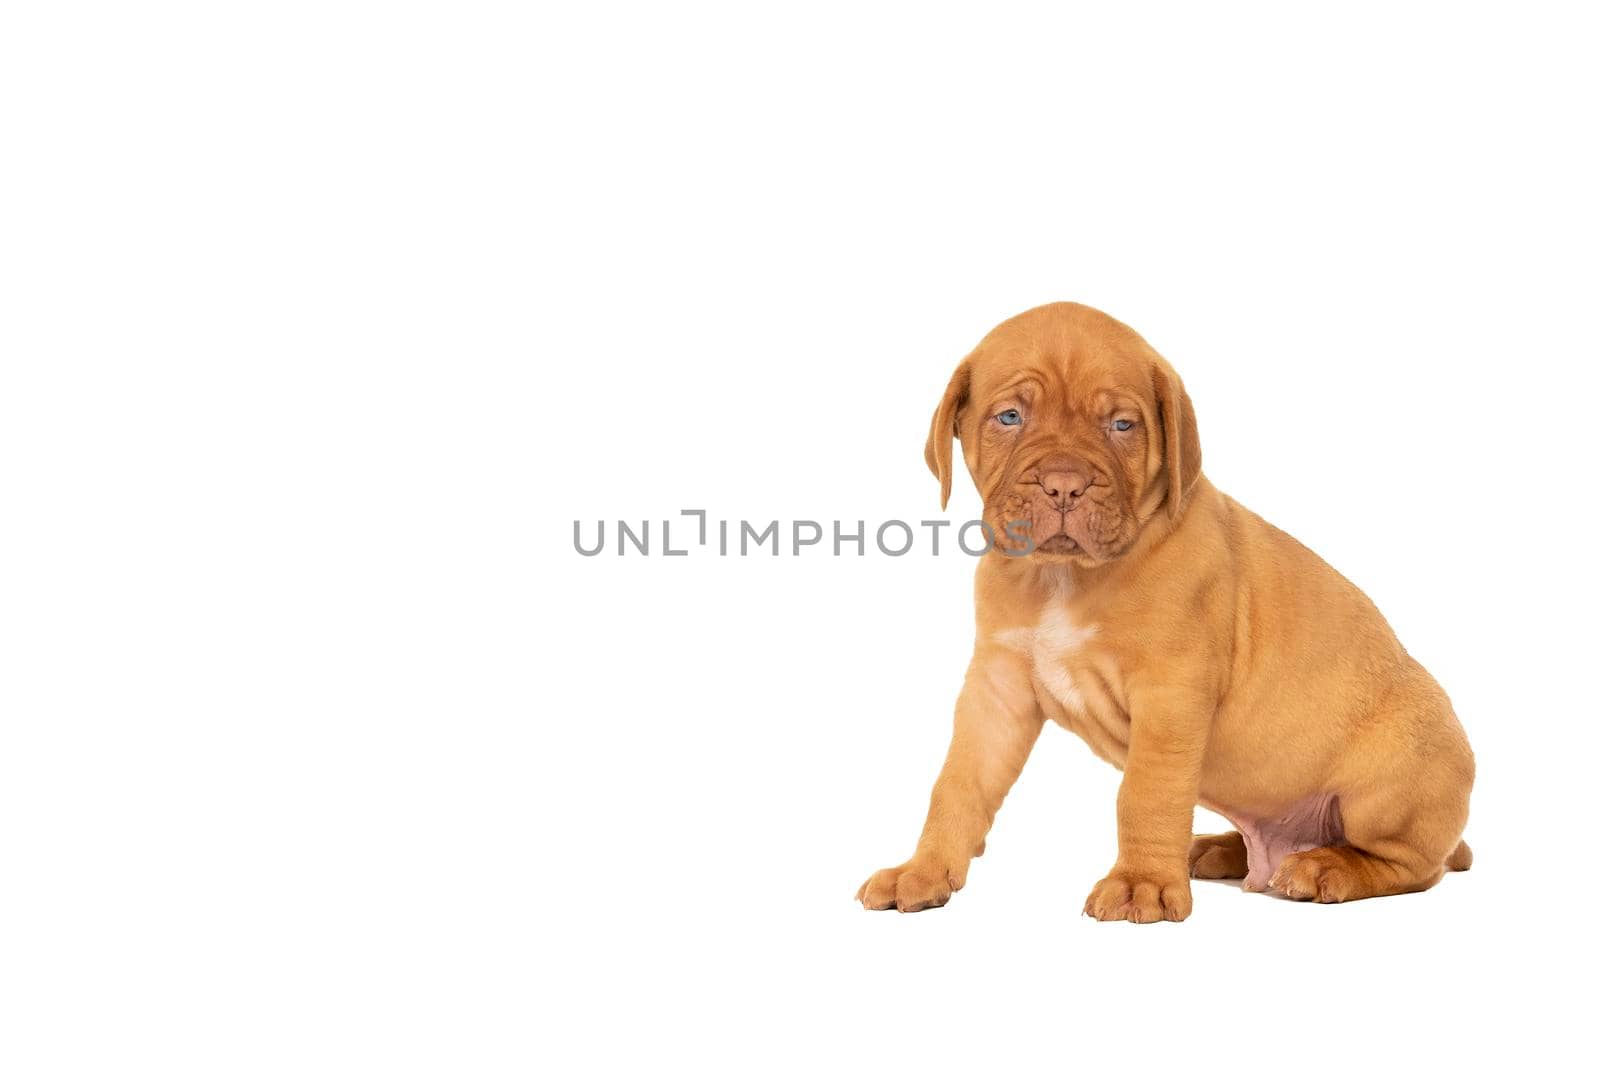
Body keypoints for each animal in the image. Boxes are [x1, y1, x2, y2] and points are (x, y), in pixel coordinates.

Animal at [864, 303, 1472, 921]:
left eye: (1122, 426)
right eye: (1010, 417)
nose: (1064, 485)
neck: (1061, 578)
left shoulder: (1169, 692)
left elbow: (1148, 793)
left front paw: (1142, 883)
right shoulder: (998, 689)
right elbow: (959, 782)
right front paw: (923, 868)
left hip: (1390, 784)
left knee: (1415, 866)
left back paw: (1329, 867)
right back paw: (1219, 850)